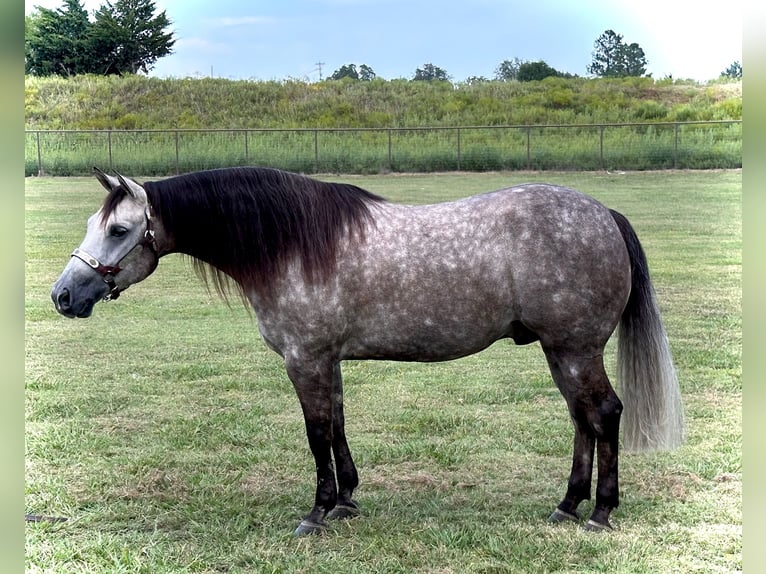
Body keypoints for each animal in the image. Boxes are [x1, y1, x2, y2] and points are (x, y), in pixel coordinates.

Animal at [51, 167, 684, 535]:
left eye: (118, 230)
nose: (63, 296)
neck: (292, 244)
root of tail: (604, 214)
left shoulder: (304, 360)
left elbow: (316, 434)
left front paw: (317, 513)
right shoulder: (326, 361)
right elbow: (337, 426)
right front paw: (347, 501)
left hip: (576, 349)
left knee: (603, 415)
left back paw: (599, 512)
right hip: (561, 352)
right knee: (583, 420)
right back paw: (567, 505)